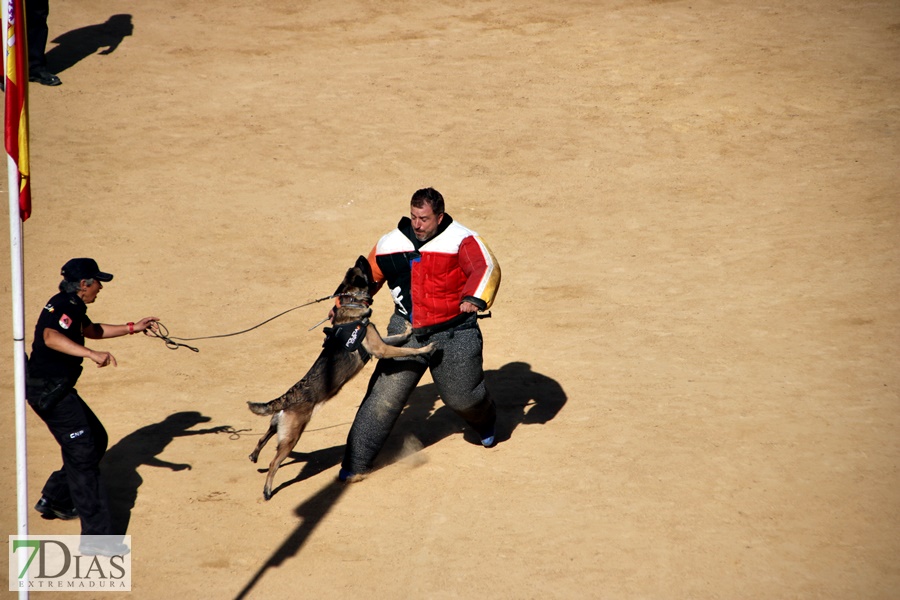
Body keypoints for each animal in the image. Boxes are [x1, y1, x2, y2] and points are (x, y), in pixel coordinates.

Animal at [248, 255, 434, 500]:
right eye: (361, 269)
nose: (363, 256)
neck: (351, 303)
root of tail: (287, 398)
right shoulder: (381, 349)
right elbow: (406, 349)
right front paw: (425, 348)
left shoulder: (380, 342)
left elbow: (397, 338)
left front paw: (408, 330)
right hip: (292, 436)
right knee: (273, 463)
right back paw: (268, 489)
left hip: (278, 427)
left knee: (262, 438)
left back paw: (254, 456)